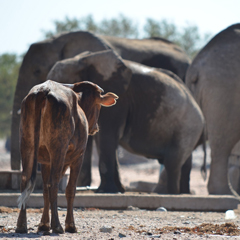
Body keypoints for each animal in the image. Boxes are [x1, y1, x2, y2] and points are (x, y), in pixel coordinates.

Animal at [15, 79, 117, 233]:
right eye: (98, 105)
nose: (95, 127)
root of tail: (44, 89)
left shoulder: (46, 162)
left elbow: (45, 190)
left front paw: (44, 224)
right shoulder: (78, 157)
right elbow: (70, 189)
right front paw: (70, 224)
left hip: (27, 144)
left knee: (26, 181)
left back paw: (21, 225)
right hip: (59, 147)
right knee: (54, 183)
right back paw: (57, 225)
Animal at [47, 49, 204, 194]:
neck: (83, 59)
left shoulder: (120, 100)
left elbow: (106, 138)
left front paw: (106, 191)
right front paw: (118, 190)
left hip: (188, 127)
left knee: (172, 161)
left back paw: (167, 193)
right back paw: (181, 192)